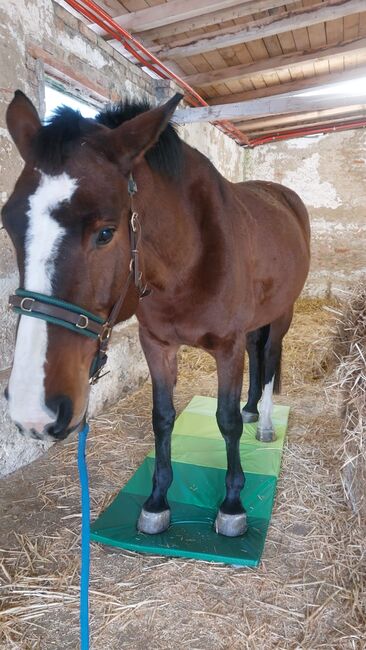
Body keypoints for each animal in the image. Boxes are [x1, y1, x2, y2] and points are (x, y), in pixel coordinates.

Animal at [3, 92, 312, 536]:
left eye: (106, 232)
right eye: (9, 223)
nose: (33, 410)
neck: (189, 259)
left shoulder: (228, 347)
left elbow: (226, 420)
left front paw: (232, 504)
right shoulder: (157, 345)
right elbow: (163, 417)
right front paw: (156, 500)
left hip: (282, 314)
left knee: (268, 360)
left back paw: (266, 422)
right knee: (258, 357)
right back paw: (253, 408)